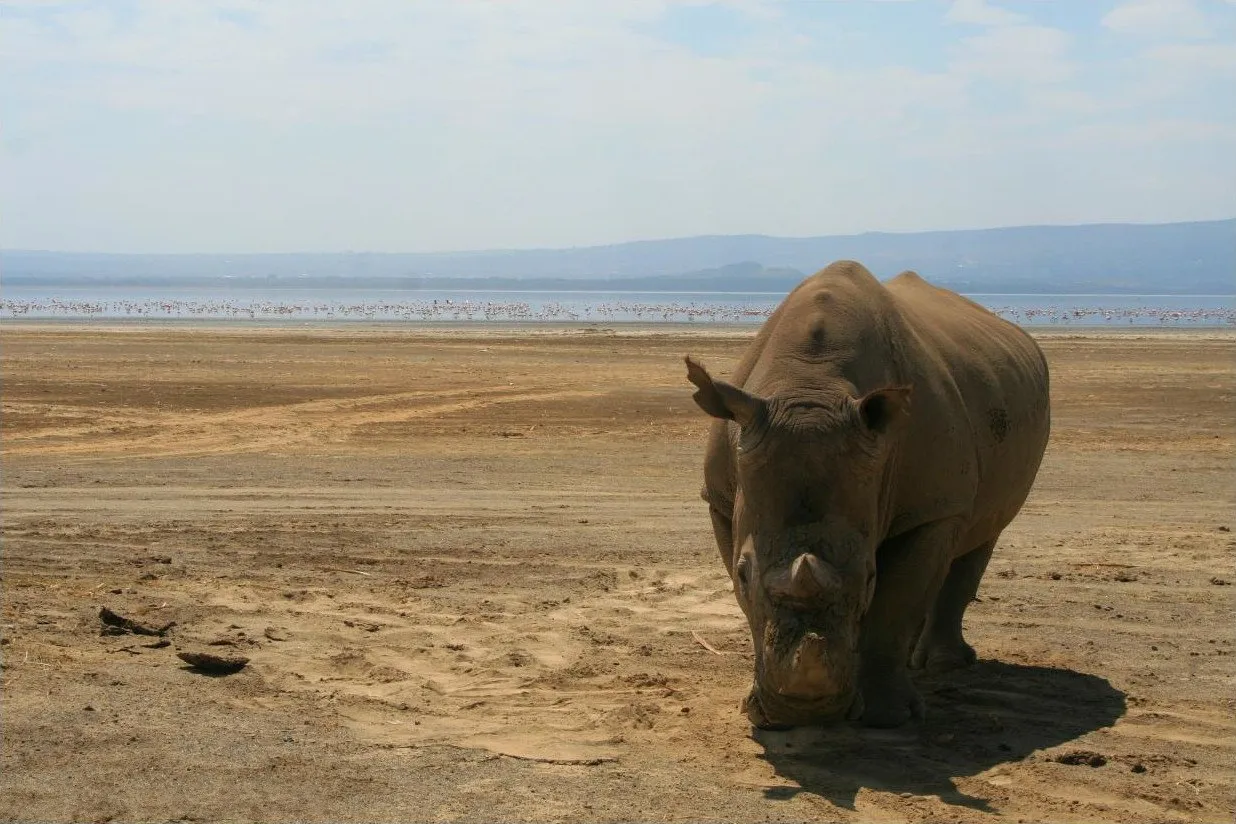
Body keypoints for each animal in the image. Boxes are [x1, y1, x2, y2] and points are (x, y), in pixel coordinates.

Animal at [685, 261, 1050, 729]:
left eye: (869, 576)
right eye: (745, 572)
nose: (805, 713)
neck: (811, 385)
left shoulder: (931, 508)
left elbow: (896, 601)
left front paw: (885, 717)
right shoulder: (720, 497)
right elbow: (746, 596)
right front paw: (758, 709)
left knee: (982, 533)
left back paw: (942, 666)